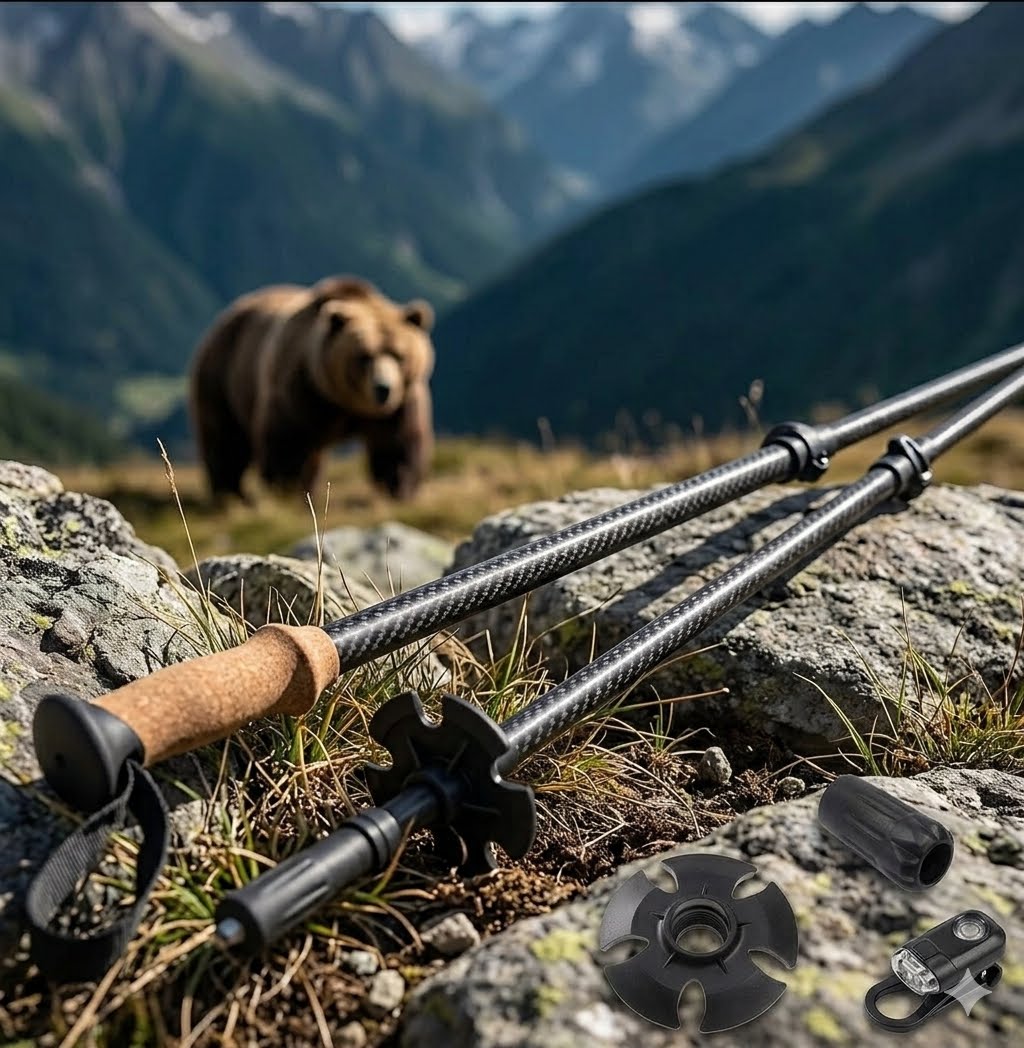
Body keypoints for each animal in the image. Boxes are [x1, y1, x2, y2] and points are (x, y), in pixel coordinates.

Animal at [189, 276, 435, 501]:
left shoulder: (400, 404)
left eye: (399, 355)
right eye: (364, 356)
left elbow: (397, 443)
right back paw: (230, 494)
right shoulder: (300, 389)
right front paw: (287, 489)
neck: (344, 401)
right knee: (226, 441)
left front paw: (400, 487)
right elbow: (288, 443)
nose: (383, 388)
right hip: (223, 375)